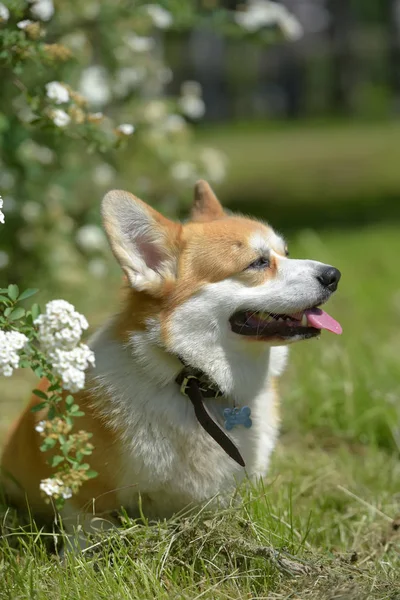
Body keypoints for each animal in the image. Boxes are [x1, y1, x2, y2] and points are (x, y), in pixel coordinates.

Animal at [1, 180, 342, 548]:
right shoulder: (83, 496)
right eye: (257, 263)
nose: (334, 275)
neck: (195, 384)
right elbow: (89, 531)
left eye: (285, 252)